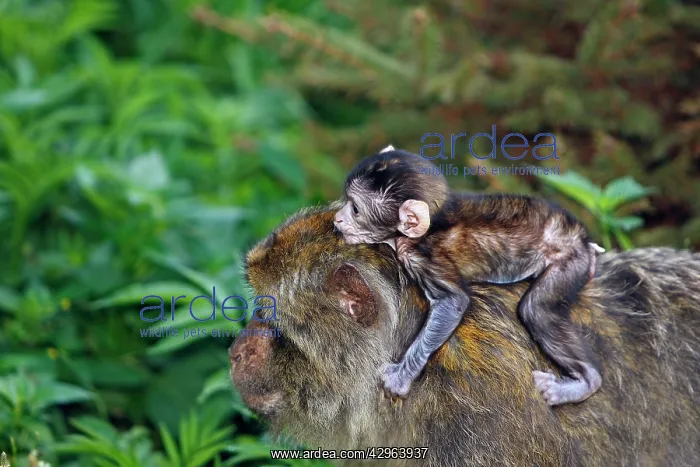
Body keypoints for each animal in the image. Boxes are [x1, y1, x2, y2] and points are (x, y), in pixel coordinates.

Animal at [333, 146, 606, 406]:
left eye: (355, 209)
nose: (338, 218)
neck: (432, 224)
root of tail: (583, 238)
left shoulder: (423, 258)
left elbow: (454, 302)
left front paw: (401, 377)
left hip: (570, 259)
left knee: (535, 308)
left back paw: (586, 382)